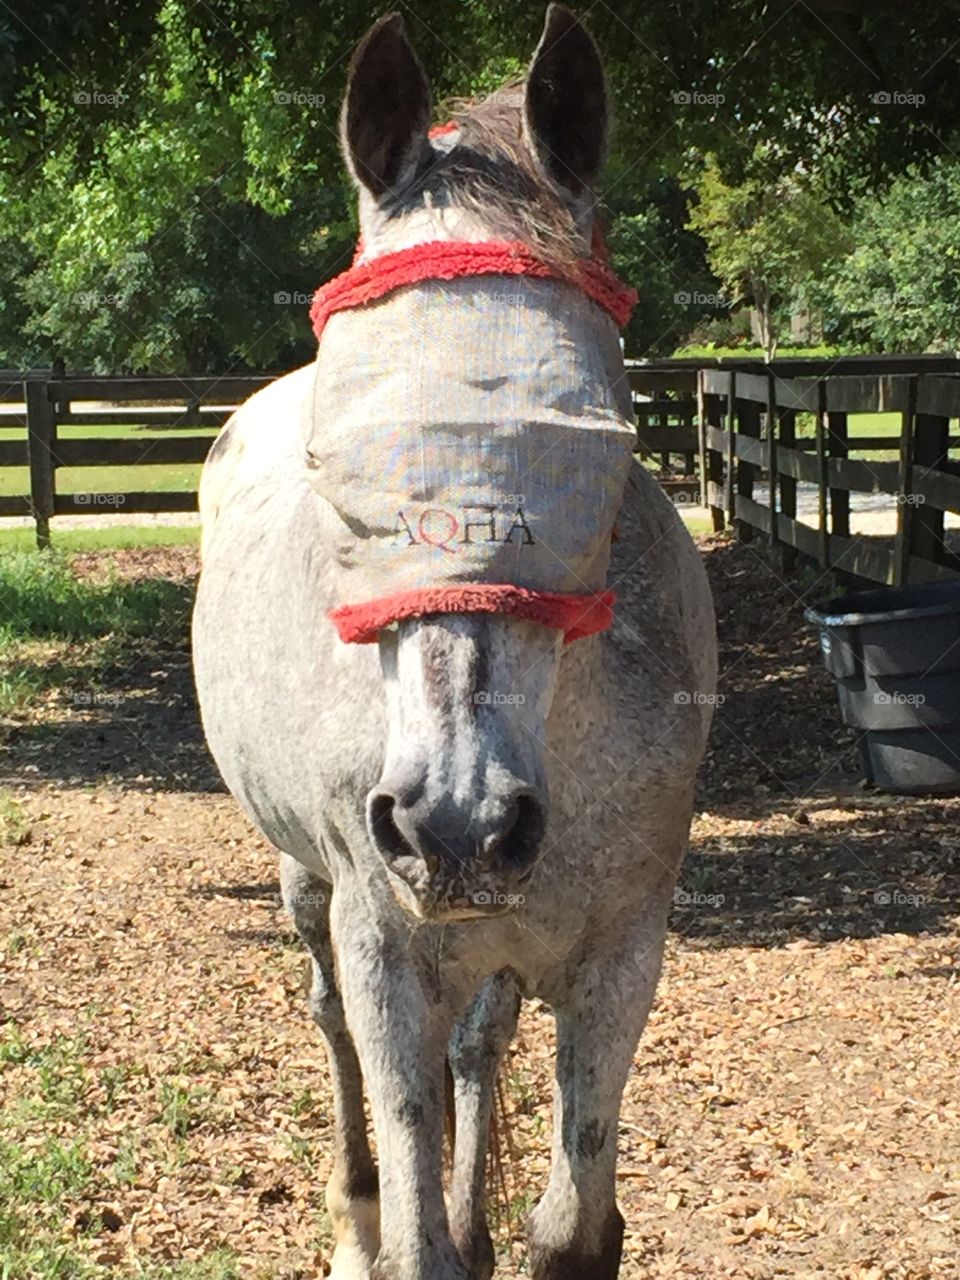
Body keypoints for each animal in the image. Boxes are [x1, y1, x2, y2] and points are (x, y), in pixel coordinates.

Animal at [192, 8, 717, 1278]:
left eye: (594, 439)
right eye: (341, 461)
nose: (455, 821)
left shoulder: (623, 953)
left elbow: (573, 1223)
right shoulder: (385, 944)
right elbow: (415, 1225)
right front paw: (400, 1222)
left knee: (476, 1043)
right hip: (312, 891)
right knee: (334, 1022)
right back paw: (355, 1205)